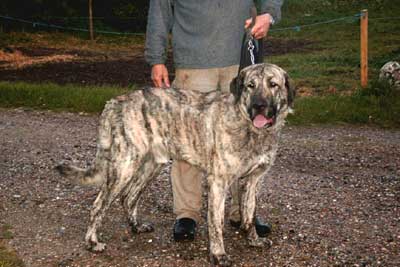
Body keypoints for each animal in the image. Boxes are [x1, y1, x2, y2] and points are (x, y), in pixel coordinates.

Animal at [56, 63, 294, 266]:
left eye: (273, 84)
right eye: (250, 86)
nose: (259, 106)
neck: (250, 128)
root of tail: (115, 102)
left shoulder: (253, 181)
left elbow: (249, 215)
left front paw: (253, 239)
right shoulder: (218, 182)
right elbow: (216, 224)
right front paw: (218, 254)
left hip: (152, 165)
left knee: (129, 197)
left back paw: (136, 227)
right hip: (124, 166)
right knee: (99, 204)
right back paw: (92, 242)